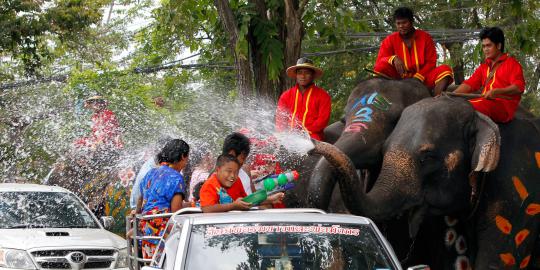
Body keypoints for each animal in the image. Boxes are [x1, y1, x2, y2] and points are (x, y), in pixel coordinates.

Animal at [310, 96, 540, 268]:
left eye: (427, 157)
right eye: (383, 150)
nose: (311, 144)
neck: (479, 115)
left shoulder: (518, 188)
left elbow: (499, 256)